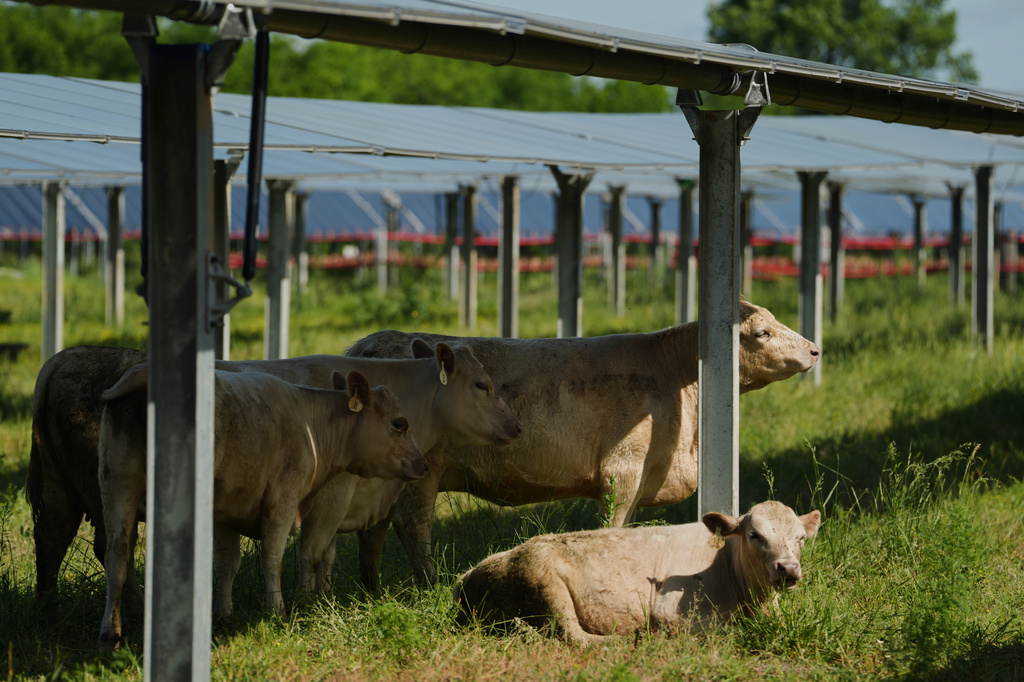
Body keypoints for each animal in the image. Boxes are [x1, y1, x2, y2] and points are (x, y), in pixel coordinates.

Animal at [96, 366, 426, 650]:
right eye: (399, 424)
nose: (423, 463)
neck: (311, 424)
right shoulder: (283, 501)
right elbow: (279, 558)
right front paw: (282, 610)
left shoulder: (224, 513)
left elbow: (227, 563)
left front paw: (224, 614)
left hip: (118, 482)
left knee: (117, 553)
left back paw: (111, 632)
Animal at [347, 299, 820, 585]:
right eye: (762, 332)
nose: (815, 349)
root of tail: (369, 344)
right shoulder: (622, 469)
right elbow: (613, 525)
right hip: (420, 472)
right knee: (412, 525)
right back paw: (430, 583)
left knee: (374, 528)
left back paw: (372, 587)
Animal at [454, 500, 821, 645]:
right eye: (754, 535)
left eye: (801, 539)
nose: (788, 568)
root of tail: (469, 574)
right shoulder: (671, 610)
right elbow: (724, 630)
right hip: (545, 582)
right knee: (575, 636)